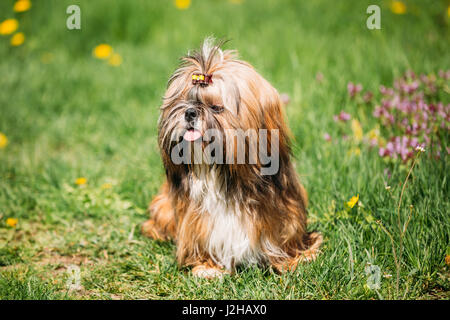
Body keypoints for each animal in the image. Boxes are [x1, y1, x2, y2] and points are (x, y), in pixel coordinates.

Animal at [142, 37, 322, 278]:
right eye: (184, 102)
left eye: (216, 108)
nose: (189, 112)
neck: (224, 179)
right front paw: (208, 266)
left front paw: (294, 258)